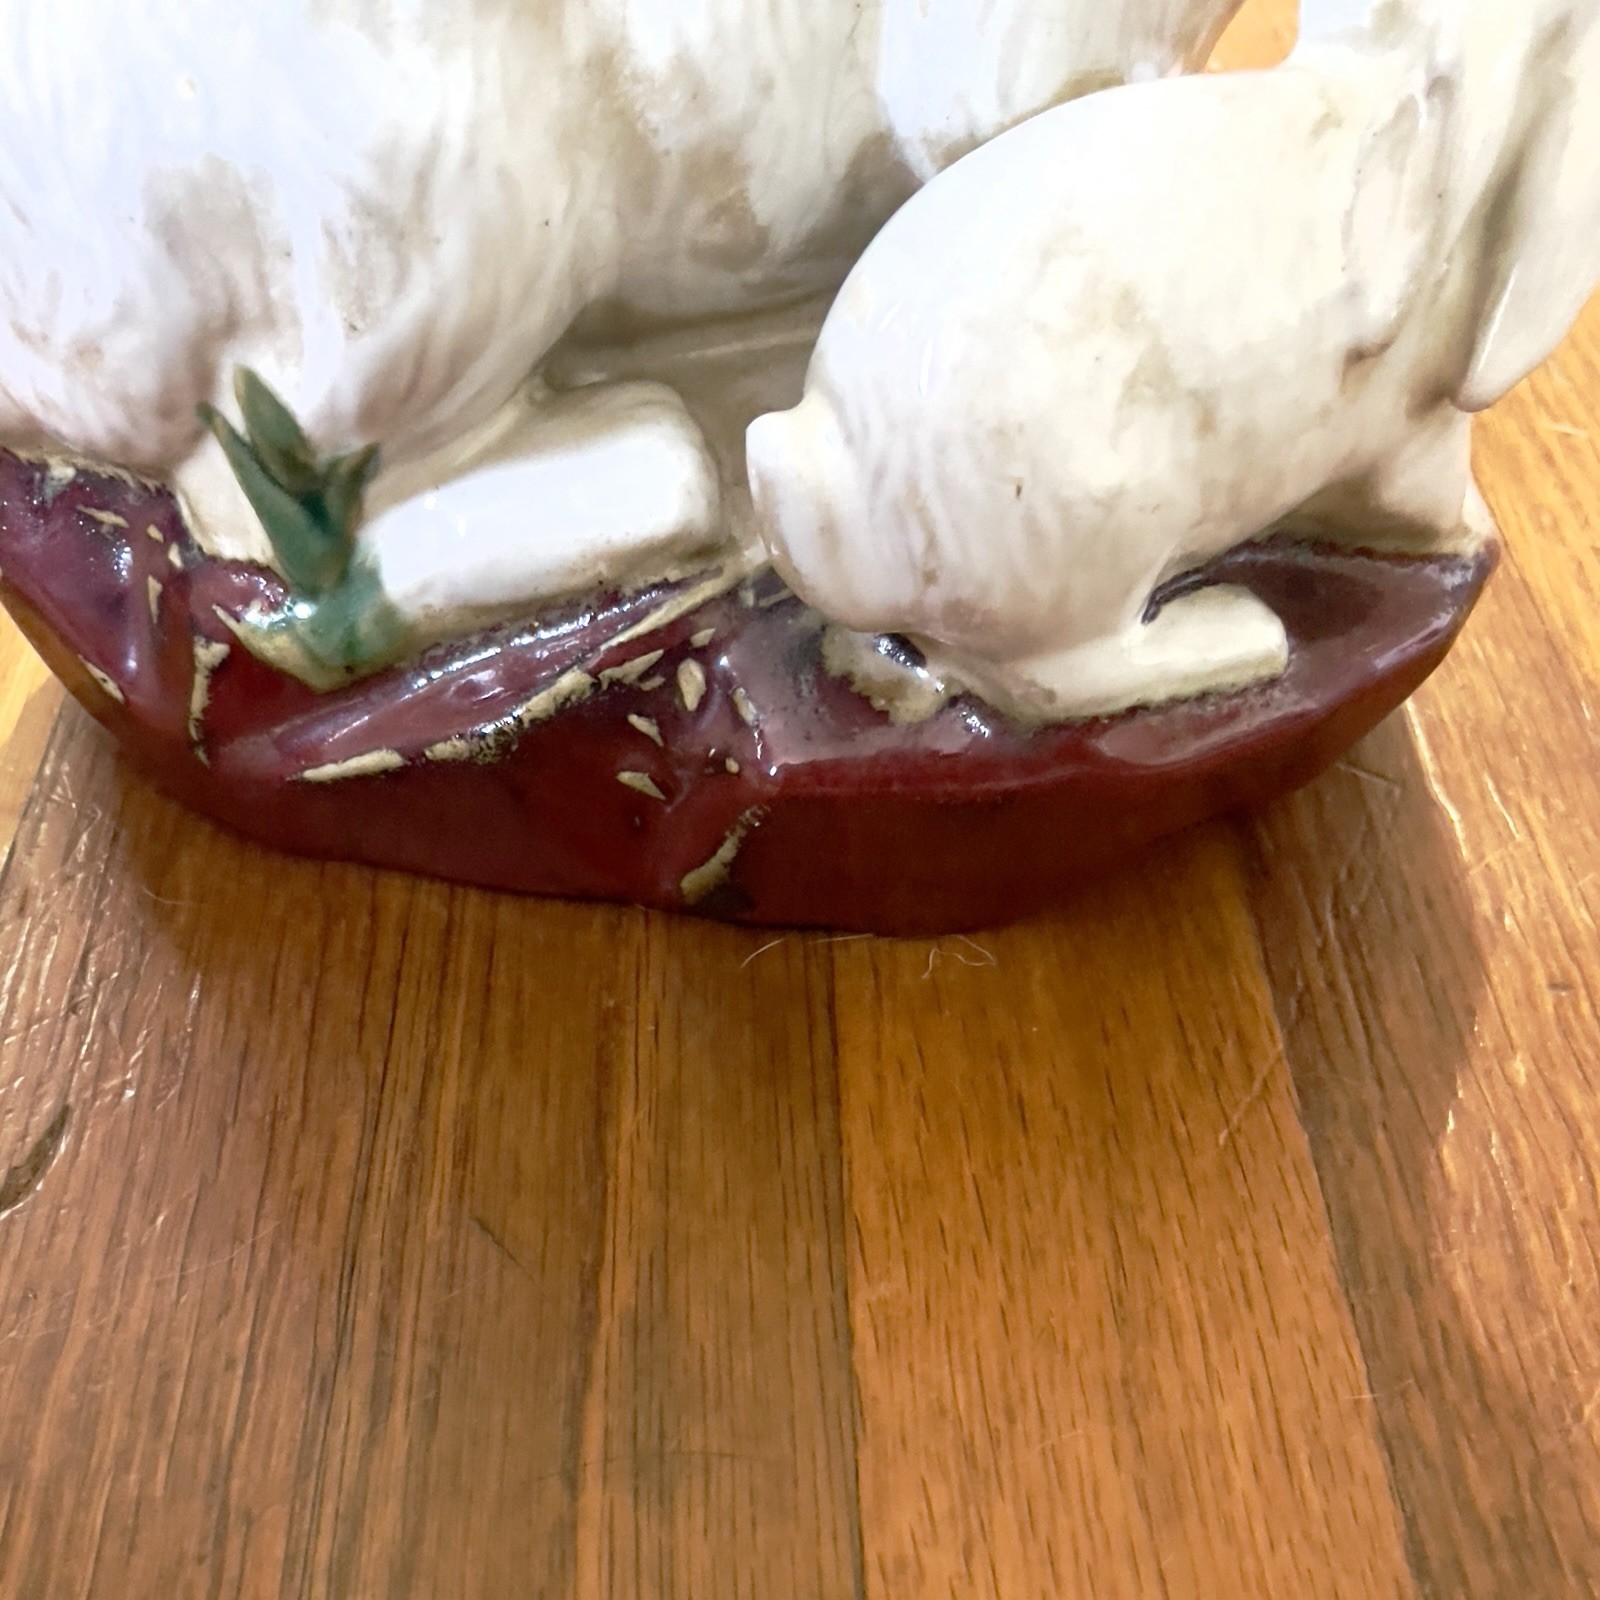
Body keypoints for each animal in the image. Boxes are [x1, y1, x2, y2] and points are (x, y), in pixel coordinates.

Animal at [745, 0, 1600, 723]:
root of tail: (826, 469)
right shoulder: (1417, 439)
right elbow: (1429, 504)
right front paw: (1475, 538)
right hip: (1102, 523)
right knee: (1052, 679)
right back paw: (1234, 633)